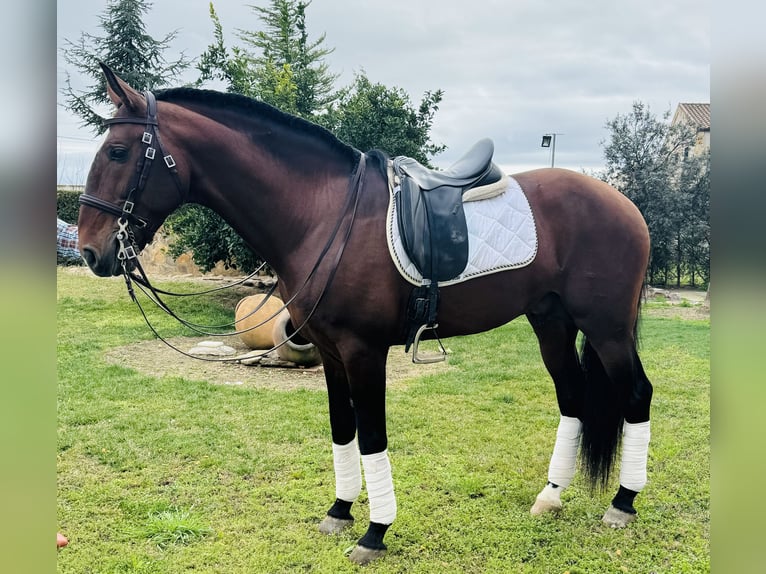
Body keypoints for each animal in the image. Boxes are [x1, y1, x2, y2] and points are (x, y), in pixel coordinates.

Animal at [76, 63, 656, 568]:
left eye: (119, 151)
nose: (89, 251)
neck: (324, 214)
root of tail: (624, 204)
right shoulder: (329, 352)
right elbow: (342, 430)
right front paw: (340, 511)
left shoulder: (363, 351)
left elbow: (372, 435)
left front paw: (375, 532)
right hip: (551, 322)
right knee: (573, 398)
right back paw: (551, 496)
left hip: (606, 329)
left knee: (636, 395)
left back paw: (622, 503)